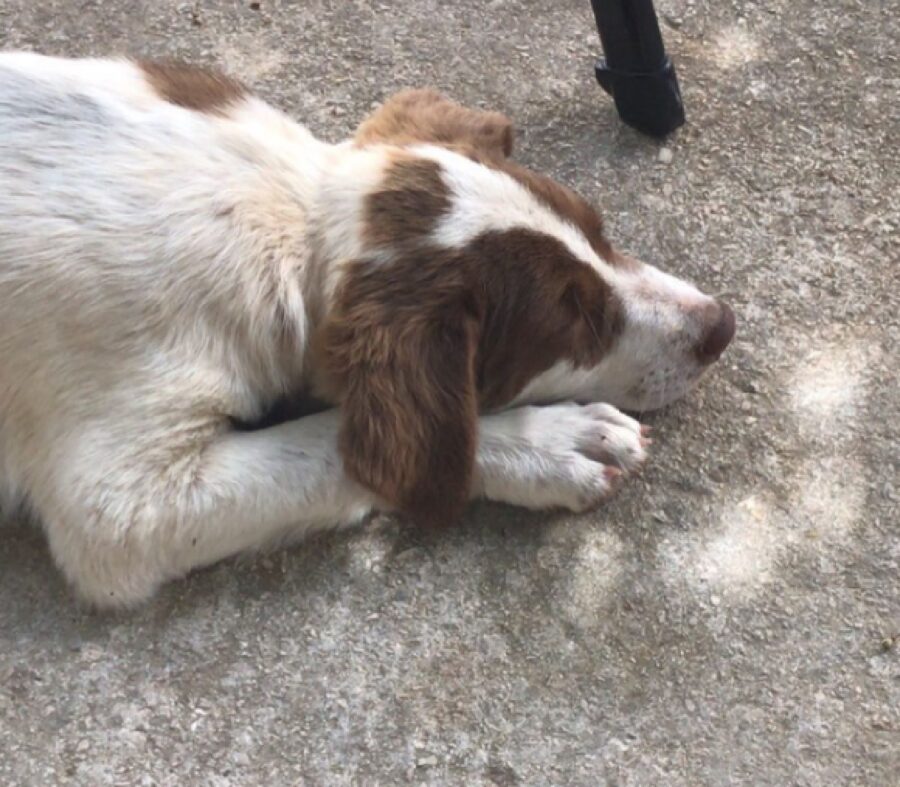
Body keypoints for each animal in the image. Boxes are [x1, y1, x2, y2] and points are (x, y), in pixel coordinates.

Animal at [0, 52, 732, 608]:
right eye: (575, 321)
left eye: (599, 230)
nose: (721, 325)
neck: (289, 221)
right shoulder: (121, 507)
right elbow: (351, 444)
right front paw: (548, 443)